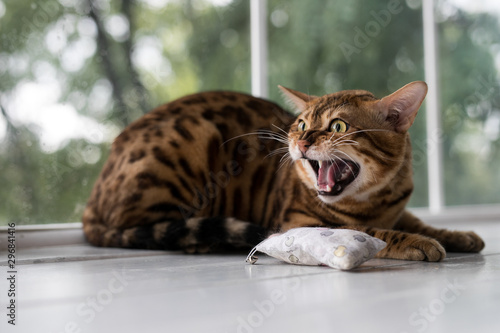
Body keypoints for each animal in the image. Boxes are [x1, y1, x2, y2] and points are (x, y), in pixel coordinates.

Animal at [82, 81, 484, 260]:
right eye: (302, 124)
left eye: (338, 126)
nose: (302, 142)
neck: (374, 200)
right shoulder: (298, 220)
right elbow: (371, 232)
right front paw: (417, 242)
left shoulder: (398, 208)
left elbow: (419, 221)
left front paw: (457, 234)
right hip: (187, 142)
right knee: (147, 227)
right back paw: (204, 240)